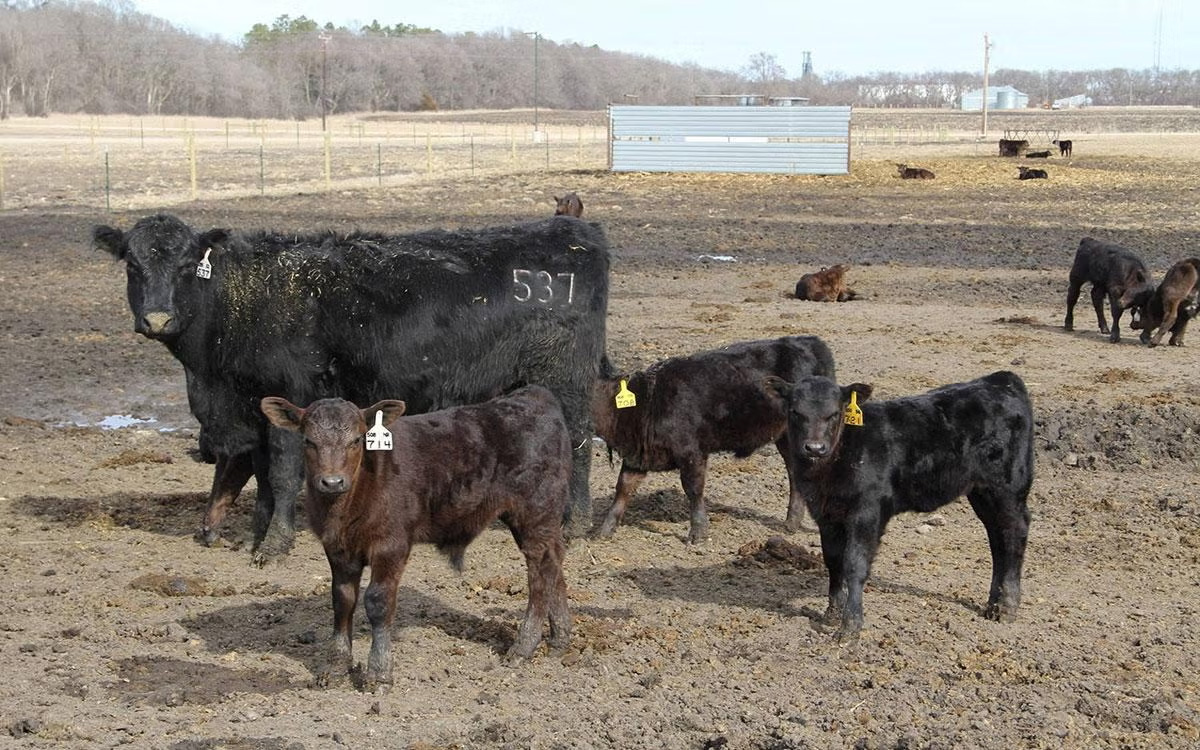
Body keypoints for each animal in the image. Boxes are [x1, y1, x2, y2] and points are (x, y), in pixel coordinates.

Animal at [94, 213, 611, 565]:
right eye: (132, 265)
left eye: (185, 266)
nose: (158, 318)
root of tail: (575, 231)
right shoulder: (255, 409)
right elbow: (262, 477)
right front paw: (258, 535)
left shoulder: (290, 394)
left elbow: (282, 475)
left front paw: (274, 547)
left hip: (565, 380)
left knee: (580, 443)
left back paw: (576, 523)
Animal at [260, 385, 571, 689]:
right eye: (308, 441)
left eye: (358, 439)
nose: (333, 481)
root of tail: (532, 395)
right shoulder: (337, 548)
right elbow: (342, 600)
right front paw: (335, 667)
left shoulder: (391, 545)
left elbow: (378, 601)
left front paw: (379, 673)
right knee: (554, 560)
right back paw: (560, 639)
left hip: (535, 509)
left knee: (540, 571)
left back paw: (524, 645)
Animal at [591, 336, 836, 543]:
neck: (648, 401)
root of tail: (809, 340)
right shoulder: (638, 456)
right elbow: (623, 488)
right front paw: (604, 530)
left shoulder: (692, 452)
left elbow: (693, 489)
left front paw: (698, 532)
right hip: (786, 437)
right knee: (794, 473)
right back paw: (791, 523)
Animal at [763, 371, 1033, 641]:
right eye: (795, 411)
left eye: (834, 413)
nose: (815, 448)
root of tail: (999, 379)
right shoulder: (826, 514)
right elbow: (833, 561)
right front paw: (831, 613)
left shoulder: (867, 512)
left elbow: (855, 564)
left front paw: (850, 626)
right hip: (981, 491)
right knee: (998, 539)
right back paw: (993, 605)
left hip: (1007, 486)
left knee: (1014, 532)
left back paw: (1006, 607)